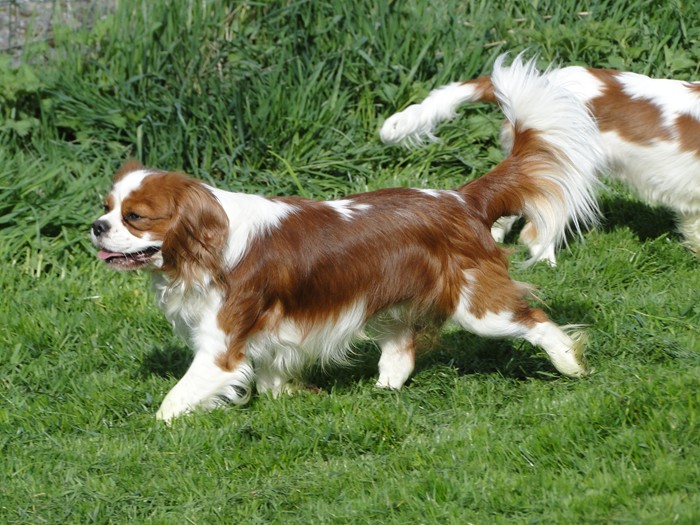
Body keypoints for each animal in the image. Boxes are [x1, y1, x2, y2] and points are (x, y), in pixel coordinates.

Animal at [91, 55, 600, 420]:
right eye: (106, 206)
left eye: (134, 217)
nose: (97, 227)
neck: (206, 247)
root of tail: (462, 197)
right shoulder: (275, 335)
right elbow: (273, 377)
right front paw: (290, 397)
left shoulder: (220, 348)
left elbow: (172, 403)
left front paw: (153, 431)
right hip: (395, 299)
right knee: (401, 348)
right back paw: (383, 389)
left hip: (478, 305)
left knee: (534, 318)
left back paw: (570, 365)